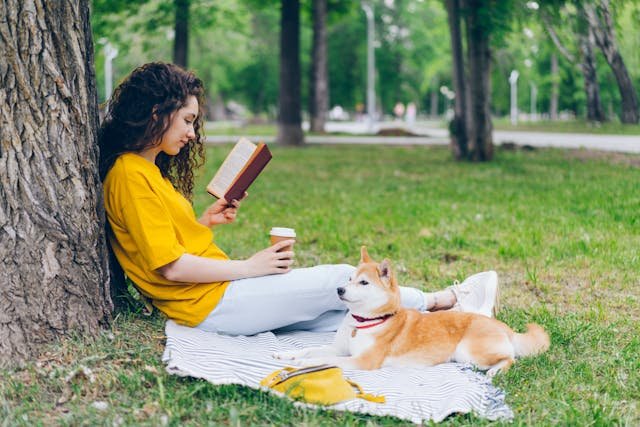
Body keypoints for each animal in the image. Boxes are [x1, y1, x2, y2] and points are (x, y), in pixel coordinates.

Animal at [276, 247, 552, 378]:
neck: (365, 321)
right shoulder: (339, 349)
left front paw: (301, 364)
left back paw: (496, 370)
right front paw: (287, 354)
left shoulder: (361, 361)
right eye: (349, 278)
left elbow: (322, 360)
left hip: (469, 352)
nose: (339, 289)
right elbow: (312, 350)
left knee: (511, 358)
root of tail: (503, 327)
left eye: (363, 283)